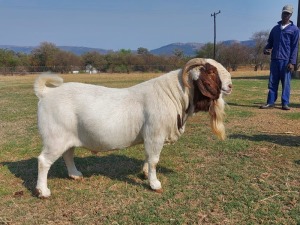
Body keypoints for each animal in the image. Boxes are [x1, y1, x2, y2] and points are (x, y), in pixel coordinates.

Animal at [34, 57, 232, 197]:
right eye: (211, 71)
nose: (230, 85)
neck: (171, 95)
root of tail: (46, 93)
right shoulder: (155, 134)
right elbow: (154, 160)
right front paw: (154, 184)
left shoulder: (149, 137)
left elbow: (148, 157)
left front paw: (145, 174)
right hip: (55, 137)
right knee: (44, 161)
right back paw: (43, 191)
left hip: (67, 137)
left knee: (68, 154)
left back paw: (75, 174)